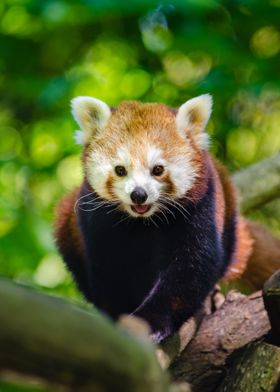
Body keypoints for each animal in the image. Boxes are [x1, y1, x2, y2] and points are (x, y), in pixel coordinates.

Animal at [54, 94, 280, 340]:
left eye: (158, 169)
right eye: (120, 170)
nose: (139, 195)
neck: (142, 222)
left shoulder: (200, 208)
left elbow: (191, 267)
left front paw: (149, 321)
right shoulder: (96, 222)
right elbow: (108, 273)